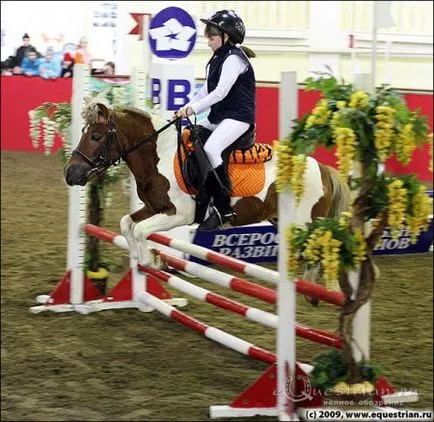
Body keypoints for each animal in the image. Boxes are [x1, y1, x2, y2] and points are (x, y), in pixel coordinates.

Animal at [62, 98, 350, 276]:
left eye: (95, 136)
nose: (69, 173)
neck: (160, 153)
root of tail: (322, 169)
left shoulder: (180, 214)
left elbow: (141, 230)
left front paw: (152, 259)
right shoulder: (154, 207)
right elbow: (127, 224)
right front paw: (147, 257)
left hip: (305, 226)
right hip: (282, 221)